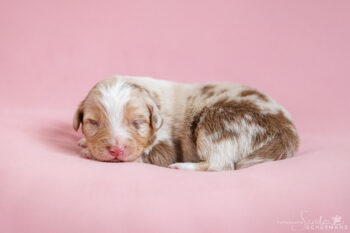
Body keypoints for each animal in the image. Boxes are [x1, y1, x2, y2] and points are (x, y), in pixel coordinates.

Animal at [73, 75, 298, 170]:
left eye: (138, 122)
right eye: (93, 122)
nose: (116, 149)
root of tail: (287, 131)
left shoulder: (166, 144)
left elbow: (147, 155)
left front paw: (87, 152)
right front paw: (84, 143)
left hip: (218, 122)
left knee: (220, 164)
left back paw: (183, 166)